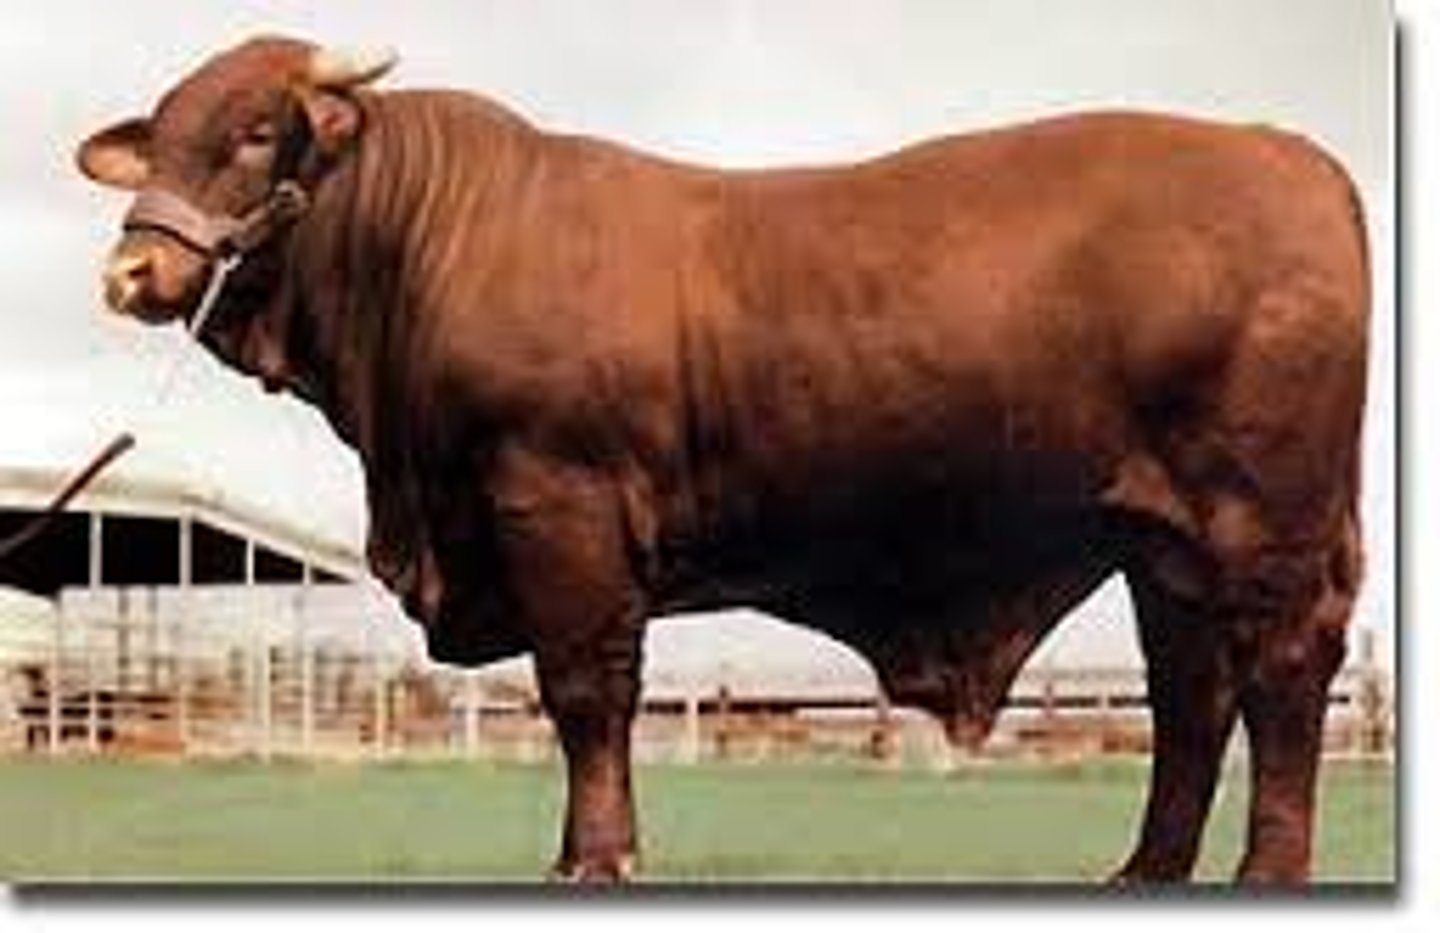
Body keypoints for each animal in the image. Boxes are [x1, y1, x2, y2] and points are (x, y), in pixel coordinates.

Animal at [75, 36, 1369, 884]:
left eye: (256, 131)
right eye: (164, 133)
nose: (130, 273)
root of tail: (1289, 153)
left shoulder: (559, 503)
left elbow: (585, 691)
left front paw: (595, 863)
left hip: (1263, 518)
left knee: (1280, 675)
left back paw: (1266, 874)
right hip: (1161, 540)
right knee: (1193, 691)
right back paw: (1145, 872)